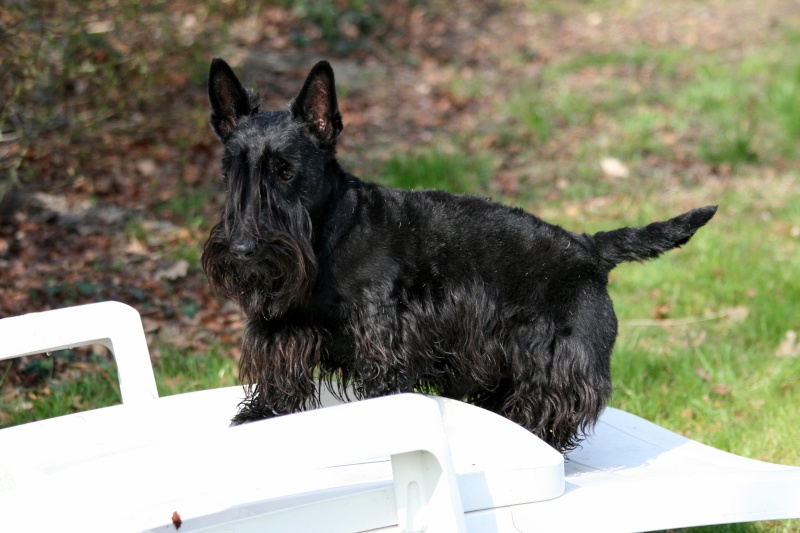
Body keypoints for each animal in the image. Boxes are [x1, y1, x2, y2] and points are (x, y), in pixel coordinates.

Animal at [203, 57, 716, 448]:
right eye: (230, 170)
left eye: (286, 171)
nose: (244, 249)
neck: (328, 239)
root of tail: (588, 247)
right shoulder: (281, 330)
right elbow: (277, 379)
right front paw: (258, 417)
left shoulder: (383, 347)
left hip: (556, 362)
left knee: (547, 410)